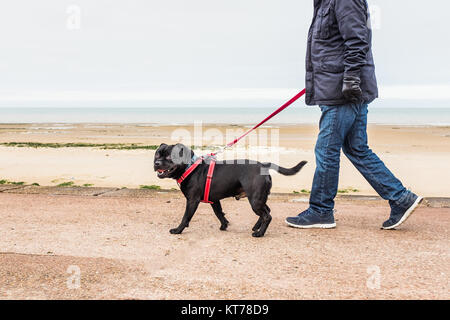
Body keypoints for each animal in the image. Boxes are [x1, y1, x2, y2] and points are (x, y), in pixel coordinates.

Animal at [154, 144, 306, 236]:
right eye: (157, 155)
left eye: (169, 156)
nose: (156, 163)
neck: (190, 167)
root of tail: (263, 165)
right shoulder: (214, 201)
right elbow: (219, 213)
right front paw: (224, 225)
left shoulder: (192, 201)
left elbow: (185, 217)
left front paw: (178, 230)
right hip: (259, 198)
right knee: (266, 211)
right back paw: (256, 227)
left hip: (255, 200)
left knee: (267, 216)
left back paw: (259, 233)